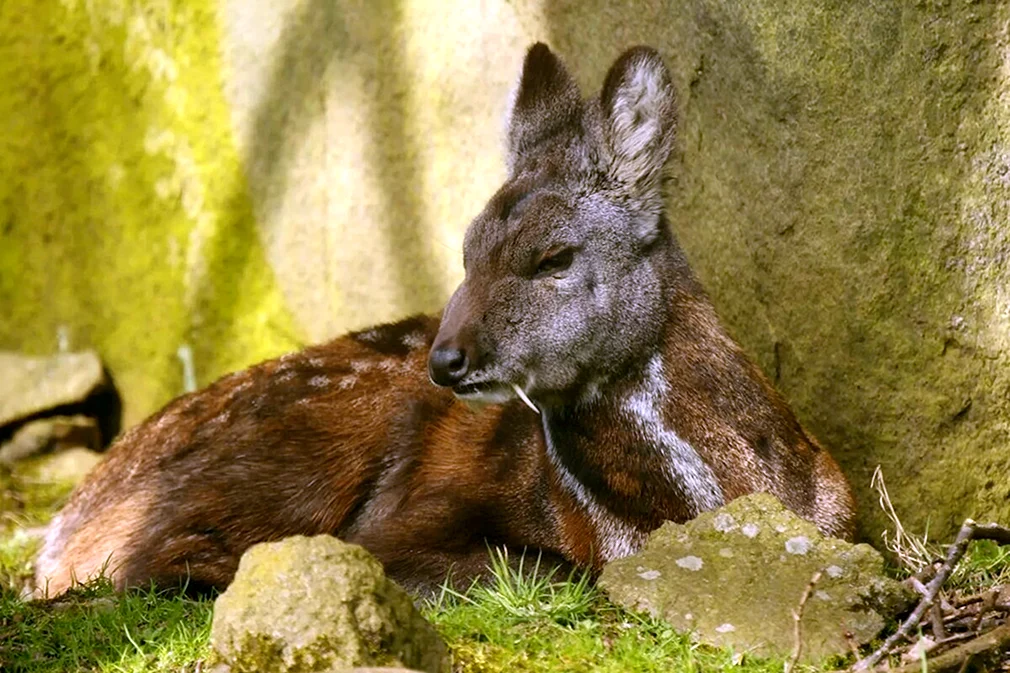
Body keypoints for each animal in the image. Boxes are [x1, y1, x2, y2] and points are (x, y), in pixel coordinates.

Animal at [33, 44, 852, 594]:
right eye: (464, 252)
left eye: (554, 256)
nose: (447, 358)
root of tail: (57, 529)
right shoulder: (409, 520)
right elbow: (547, 571)